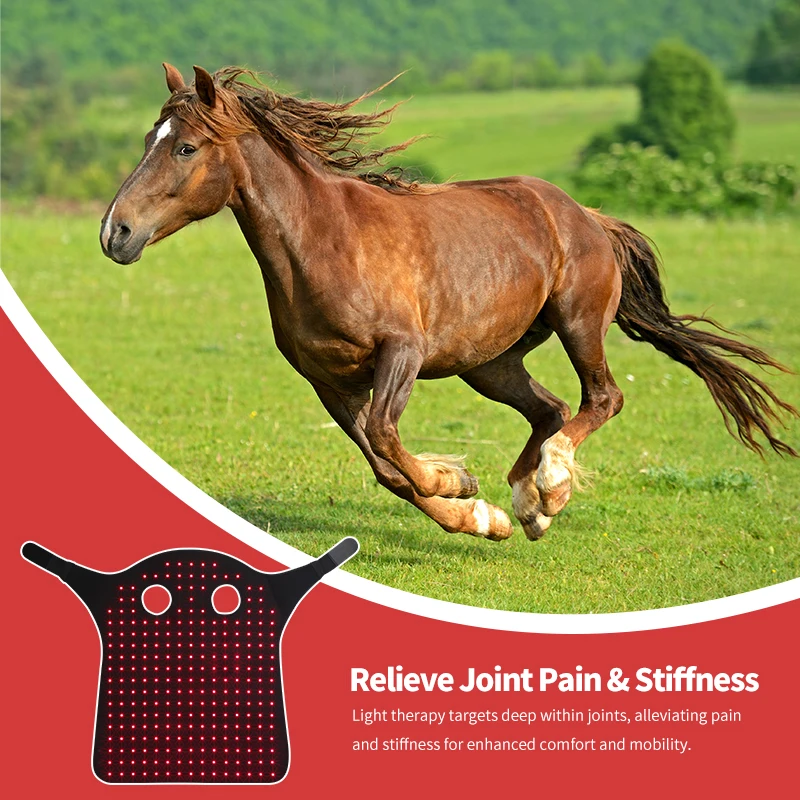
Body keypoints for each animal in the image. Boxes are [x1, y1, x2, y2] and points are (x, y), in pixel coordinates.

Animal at [100, 64, 798, 542]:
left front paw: (457, 483)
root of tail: (586, 215)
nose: (115, 233)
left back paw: (551, 486)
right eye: (150, 137)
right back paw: (528, 507)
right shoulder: (328, 380)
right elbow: (385, 467)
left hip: (576, 323)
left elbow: (388, 441)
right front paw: (479, 512)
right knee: (549, 410)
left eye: (185, 147)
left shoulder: (401, 353)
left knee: (601, 398)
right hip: (488, 362)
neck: (324, 242)